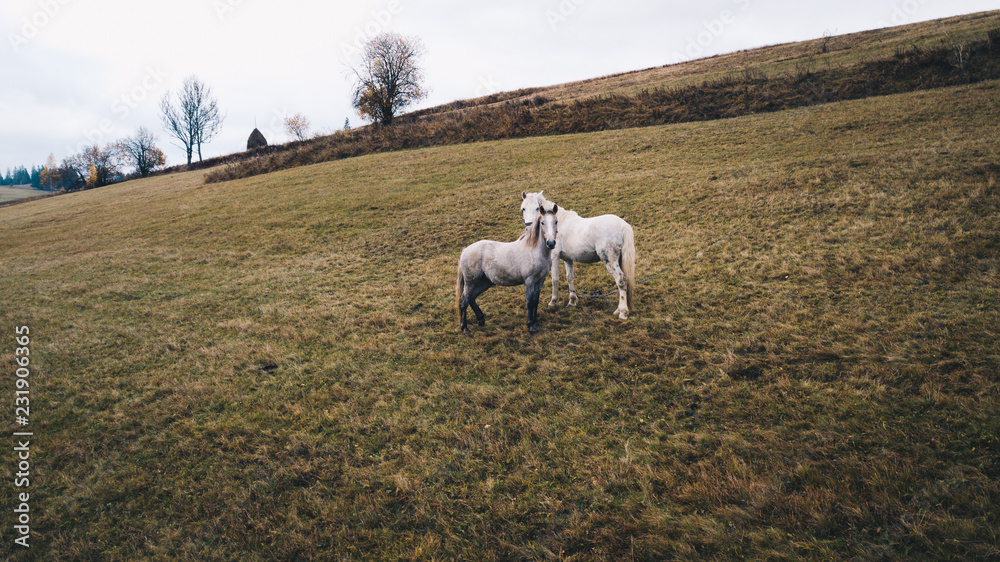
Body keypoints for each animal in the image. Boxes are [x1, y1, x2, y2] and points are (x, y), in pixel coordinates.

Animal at [456, 202, 559, 334]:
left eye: (556, 221)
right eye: (542, 223)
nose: (551, 243)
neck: (533, 251)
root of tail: (465, 250)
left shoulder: (539, 281)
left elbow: (536, 302)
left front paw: (536, 324)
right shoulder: (529, 282)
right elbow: (530, 303)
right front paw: (531, 326)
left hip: (484, 282)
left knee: (471, 298)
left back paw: (481, 320)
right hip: (471, 282)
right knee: (464, 300)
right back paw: (464, 328)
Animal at [520, 191, 635, 320]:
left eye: (537, 208)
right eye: (523, 208)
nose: (529, 229)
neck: (556, 224)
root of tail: (622, 225)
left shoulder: (554, 257)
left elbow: (555, 279)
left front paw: (553, 302)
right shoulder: (568, 259)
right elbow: (570, 277)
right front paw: (572, 301)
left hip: (610, 261)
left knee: (621, 280)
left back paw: (623, 313)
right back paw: (618, 310)